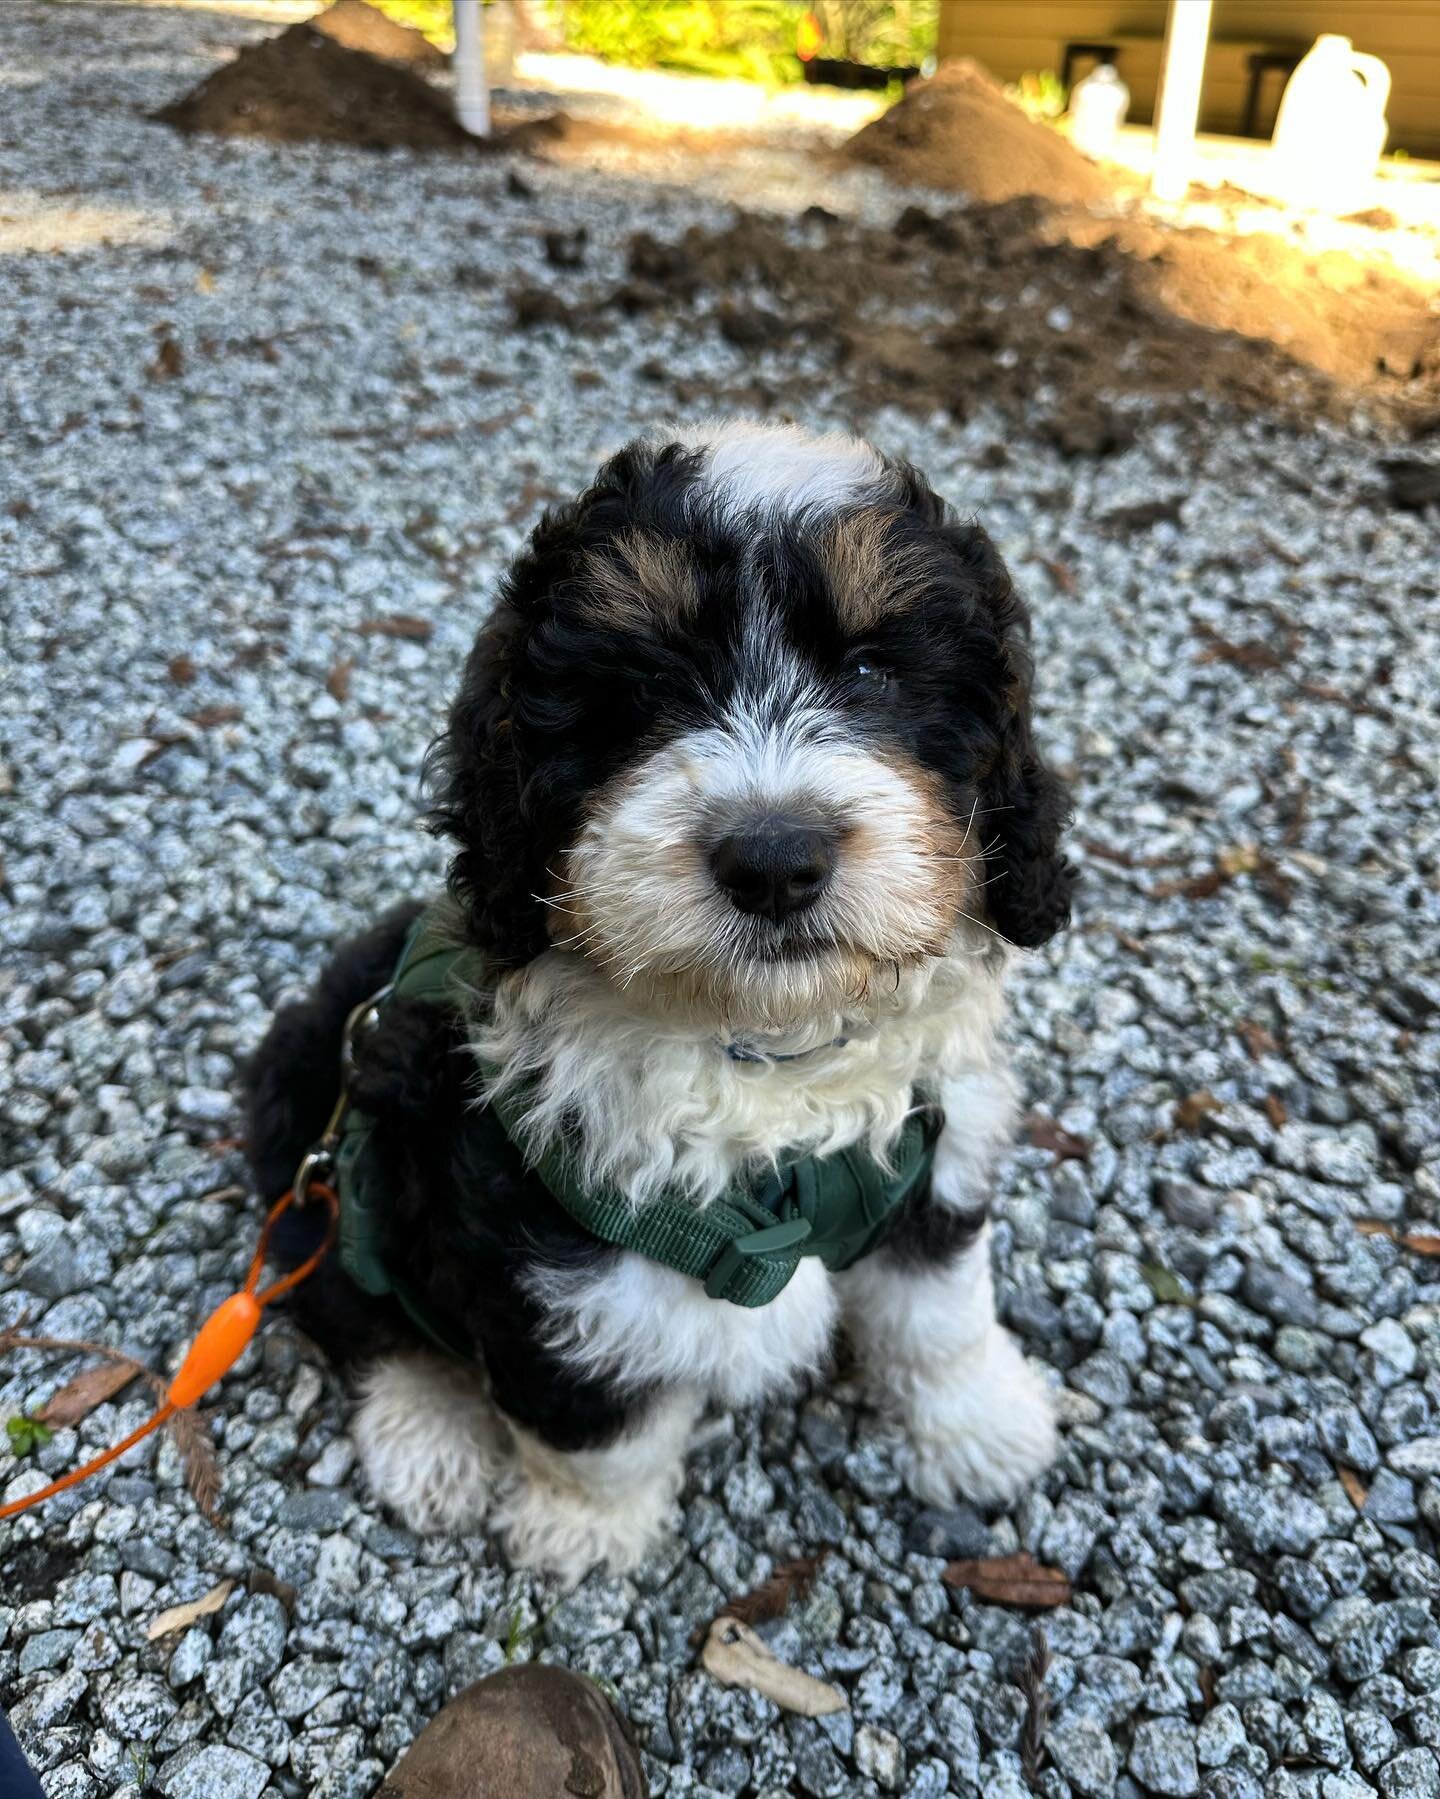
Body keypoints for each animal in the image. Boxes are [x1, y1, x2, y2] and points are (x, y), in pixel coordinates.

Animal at [248, 417, 1072, 1575]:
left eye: (872, 668)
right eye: (641, 691)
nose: (774, 858)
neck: (767, 1056)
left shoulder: (926, 1153)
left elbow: (940, 1309)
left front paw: (982, 1424)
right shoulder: (561, 1247)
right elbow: (601, 1418)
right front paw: (584, 1530)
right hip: (322, 1118)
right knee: (357, 1301)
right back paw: (427, 1436)